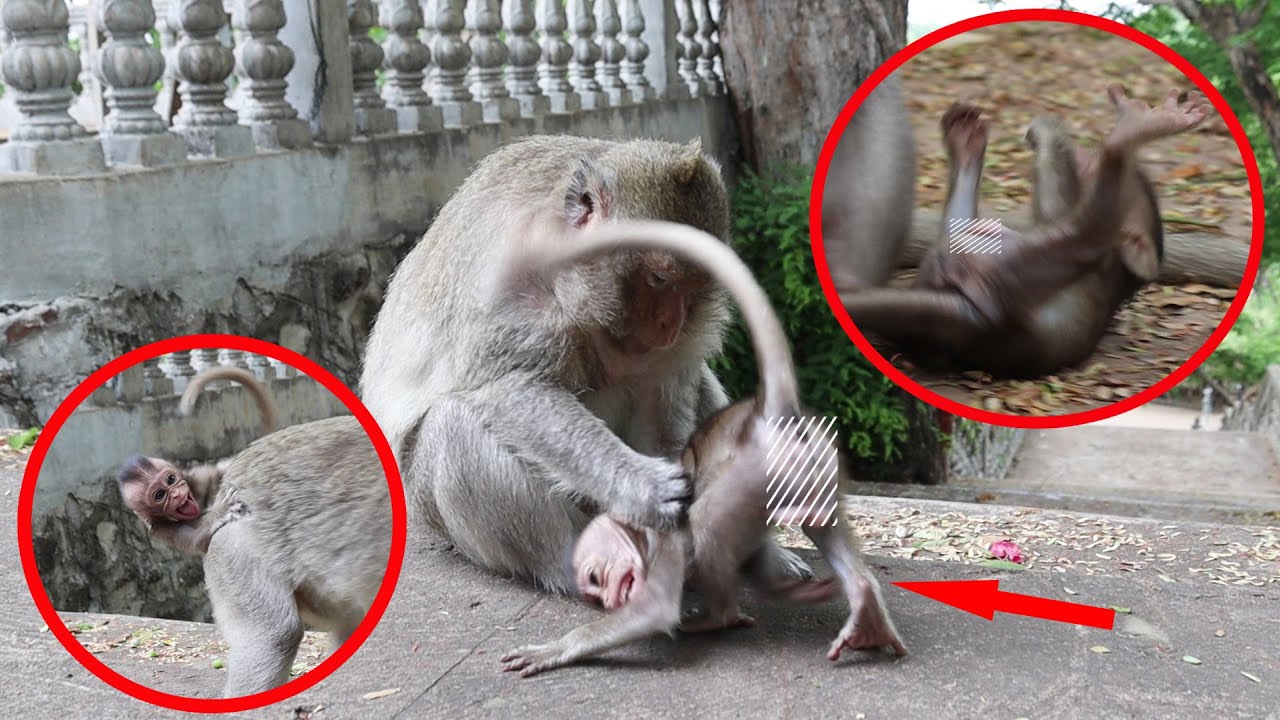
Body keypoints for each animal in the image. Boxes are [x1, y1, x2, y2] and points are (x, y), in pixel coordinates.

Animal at [116, 366, 278, 554]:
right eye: (159, 495)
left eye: (171, 479)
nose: (176, 494)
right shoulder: (163, 530)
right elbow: (195, 542)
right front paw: (219, 513)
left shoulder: (201, 478)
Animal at [360, 135, 813, 594]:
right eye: (660, 279)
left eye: (695, 285)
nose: (670, 324)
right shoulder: (507, 273)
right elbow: (510, 387)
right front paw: (643, 488)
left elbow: (663, 393)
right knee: (453, 425)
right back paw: (582, 567)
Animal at [495, 220, 907, 678]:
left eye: (594, 579)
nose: (604, 600)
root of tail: (771, 418)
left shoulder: (663, 533)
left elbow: (656, 607)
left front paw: (554, 649)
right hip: (816, 469)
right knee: (820, 524)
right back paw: (862, 599)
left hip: (757, 477)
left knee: (708, 519)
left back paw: (718, 616)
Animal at [838, 86, 1211, 378]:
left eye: (1088, 166)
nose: (1082, 151)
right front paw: (966, 140)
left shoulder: (1034, 271)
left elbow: (1091, 232)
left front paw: (1133, 130)